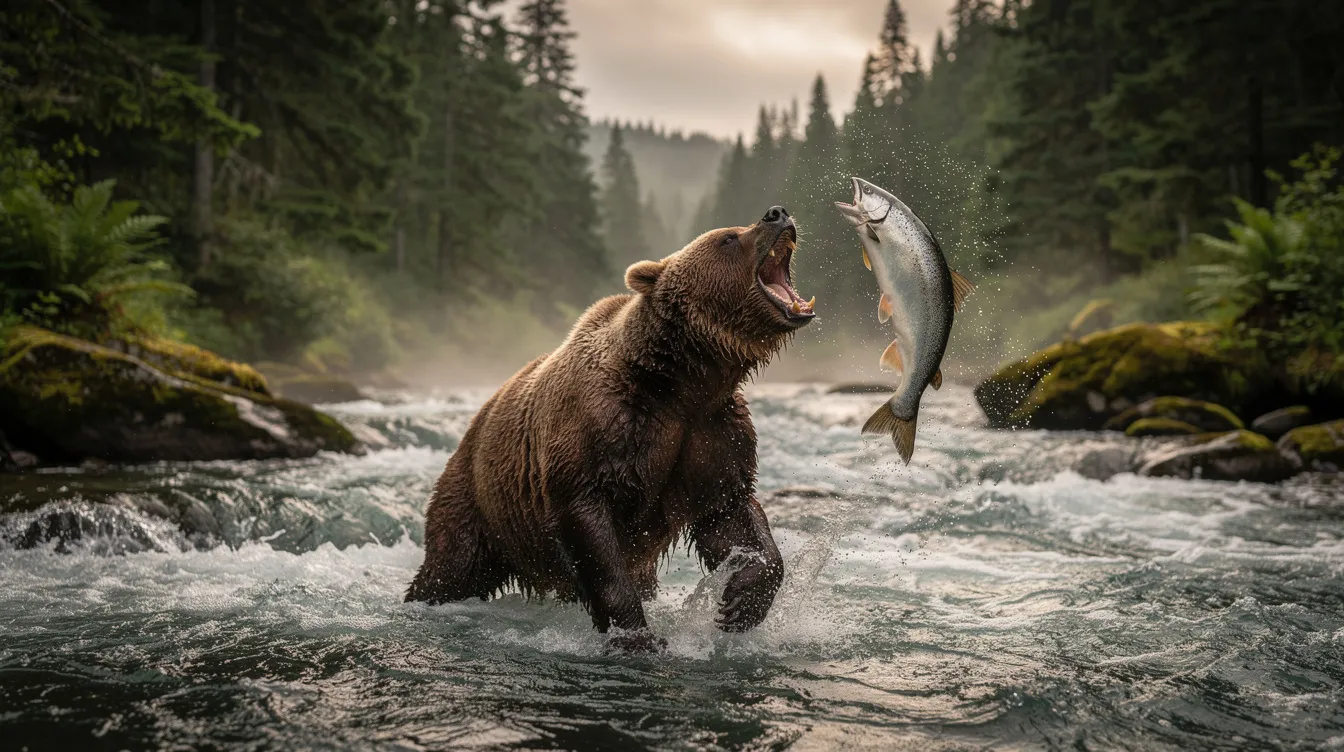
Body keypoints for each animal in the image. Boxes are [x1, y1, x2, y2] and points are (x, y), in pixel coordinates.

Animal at [405, 206, 815, 652]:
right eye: (727, 237)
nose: (777, 213)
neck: (682, 382)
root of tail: (474, 424)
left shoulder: (713, 435)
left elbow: (730, 515)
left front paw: (740, 603)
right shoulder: (604, 431)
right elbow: (592, 532)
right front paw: (636, 636)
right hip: (481, 500)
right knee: (451, 565)